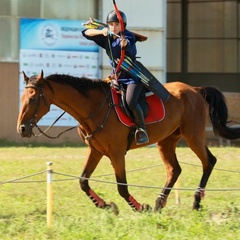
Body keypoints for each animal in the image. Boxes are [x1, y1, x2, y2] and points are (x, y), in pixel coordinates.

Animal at [17, 70, 240, 214]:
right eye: (22, 98)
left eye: (34, 98)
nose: (22, 129)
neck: (94, 108)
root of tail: (195, 89)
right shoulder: (95, 151)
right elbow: (83, 181)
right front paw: (107, 206)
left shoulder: (116, 153)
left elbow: (122, 187)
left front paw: (140, 207)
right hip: (167, 141)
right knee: (174, 170)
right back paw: (159, 203)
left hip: (193, 135)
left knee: (208, 162)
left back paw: (195, 202)